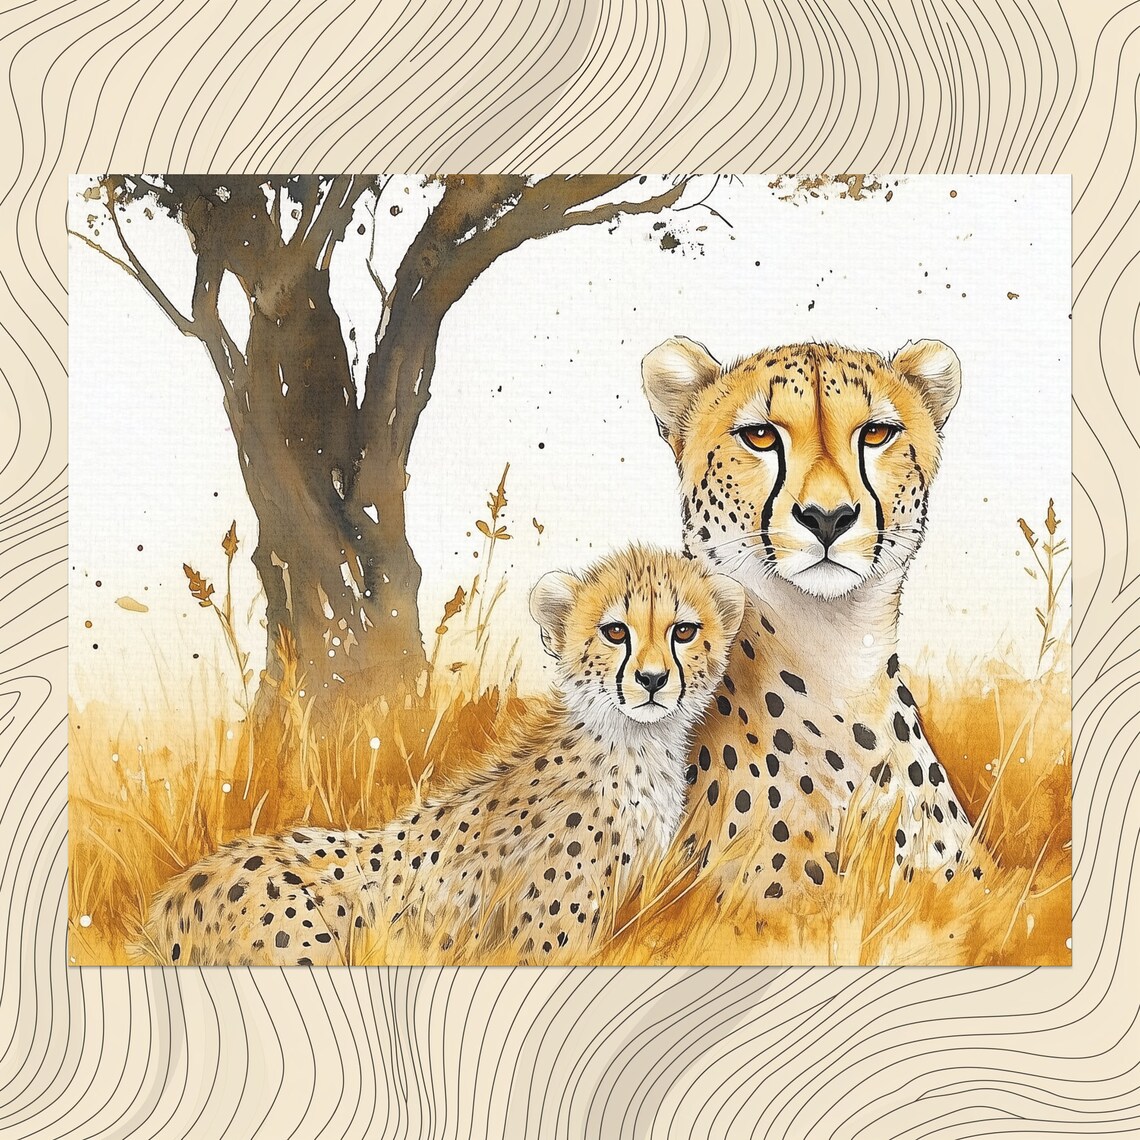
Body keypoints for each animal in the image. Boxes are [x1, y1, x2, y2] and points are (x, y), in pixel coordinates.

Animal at [142, 545, 745, 966]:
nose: (652, 680)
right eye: (615, 631)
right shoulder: (545, 942)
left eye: (684, 631)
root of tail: (169, 905)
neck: (634, 745)